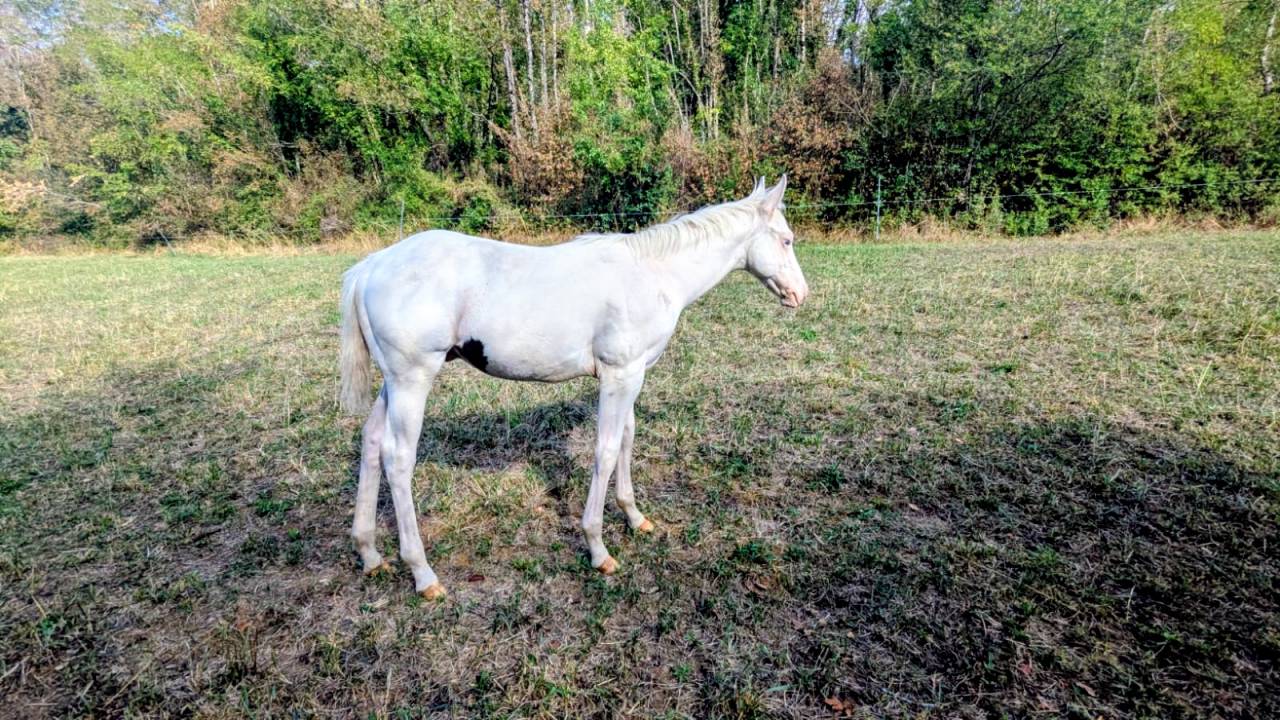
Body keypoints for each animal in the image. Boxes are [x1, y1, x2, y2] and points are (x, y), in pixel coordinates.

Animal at [338, 176, 809, 599]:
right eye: (787, 240)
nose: (800, 295)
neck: (651, 275)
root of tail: (372, 265)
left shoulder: (633, 375)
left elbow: (626, 439)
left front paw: (635, 517)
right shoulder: (620, 375)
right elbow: (605, 449)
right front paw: (598, 548)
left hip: (393, 383)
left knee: (372, 442)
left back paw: (370, 554)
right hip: (412, 380)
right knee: (398, 458)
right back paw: (422, 573)